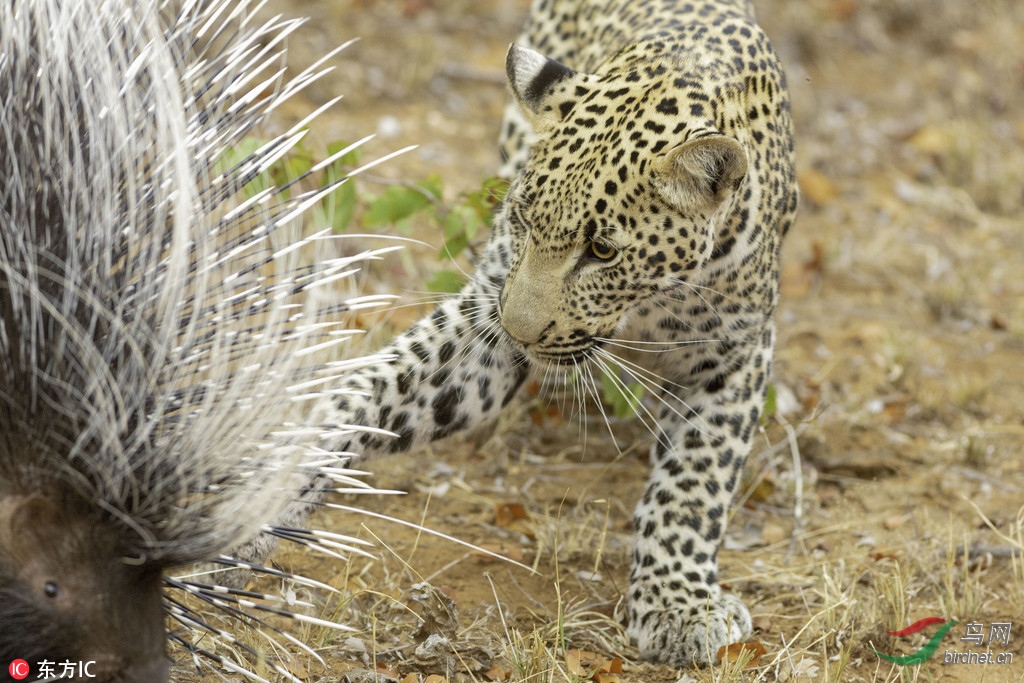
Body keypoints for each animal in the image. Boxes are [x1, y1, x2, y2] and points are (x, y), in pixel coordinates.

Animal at [315, 0, 794, 667]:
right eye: (522, 218)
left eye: (602, 251)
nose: (519, 333)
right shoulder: (484, 323)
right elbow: (382, 386)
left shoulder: (734, 353)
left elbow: (695, 480)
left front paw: (677, 605)